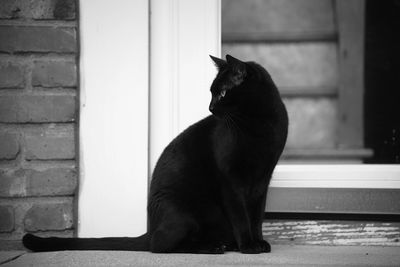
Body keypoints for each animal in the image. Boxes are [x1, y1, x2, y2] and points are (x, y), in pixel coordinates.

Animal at [22, 55, 288, 255]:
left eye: (221, 93)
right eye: (212, 93)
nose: (210, 107)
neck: (261, 125)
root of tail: (150, 227)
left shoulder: (262, 179)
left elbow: (257, 215)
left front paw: (259, 242)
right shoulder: (231, 181)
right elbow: (242, 217)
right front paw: (248, 246)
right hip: (184, 212)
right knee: (160, 245)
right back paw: (213, 247)